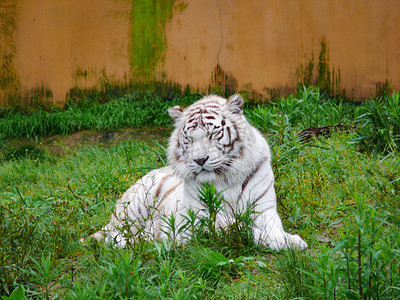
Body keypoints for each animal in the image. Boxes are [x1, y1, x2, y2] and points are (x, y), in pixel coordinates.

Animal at [86, 94, 306, 251]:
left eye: (214, 133)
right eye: (189, 139)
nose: (200, 160)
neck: (227, 178)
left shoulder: (263, 209)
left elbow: (272, 226)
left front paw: (288, 240)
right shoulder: (201, 217)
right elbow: (237, 226)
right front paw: (284, 241)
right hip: (133, 209)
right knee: (113, 235)